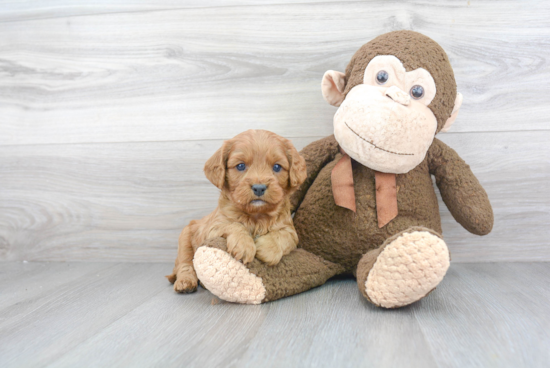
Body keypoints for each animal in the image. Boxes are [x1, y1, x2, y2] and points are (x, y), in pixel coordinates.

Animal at [166, 129, 308, 294]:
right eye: (240, 166)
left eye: (277, 167)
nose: (259, 188)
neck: (256, 216)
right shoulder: (212, 227)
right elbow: (234, 224)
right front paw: (244, 244)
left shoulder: (289, 229)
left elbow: (284, 236)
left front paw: (267, 249)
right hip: (185, 238)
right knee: (185, 264)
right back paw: (185, 283)